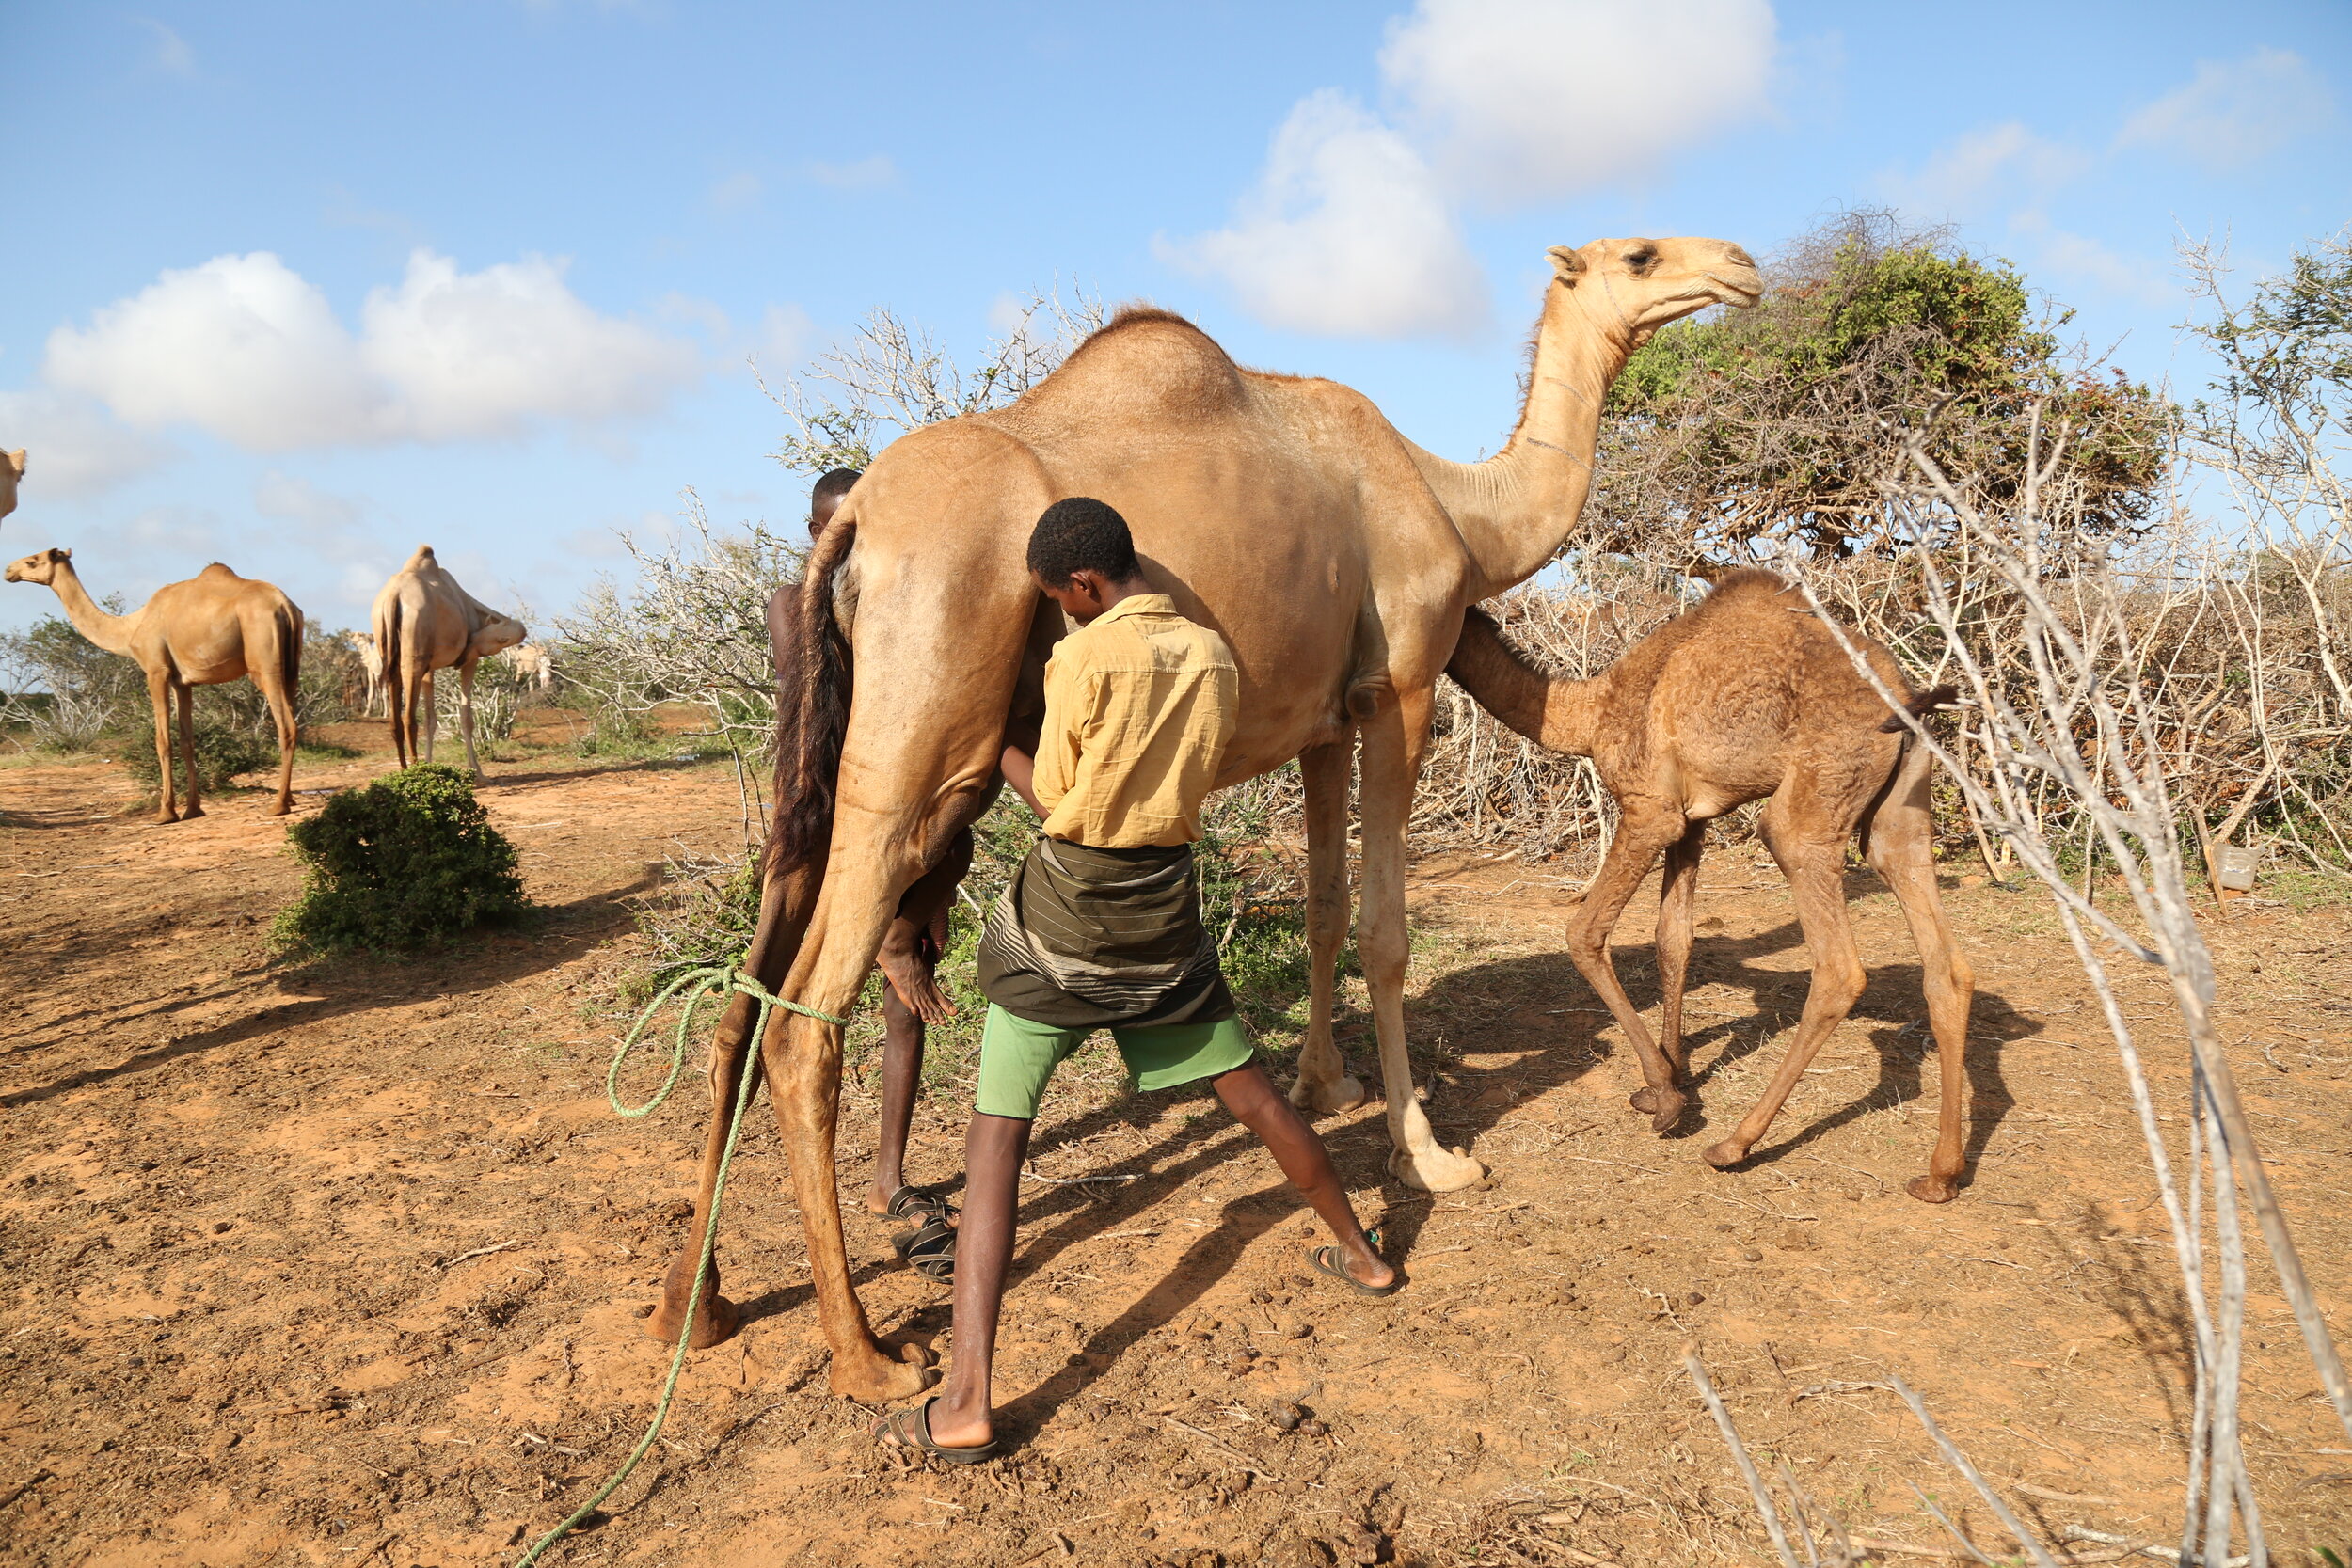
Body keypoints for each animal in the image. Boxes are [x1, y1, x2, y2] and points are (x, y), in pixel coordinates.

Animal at [4, 547, 302, 822]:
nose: (8, 570)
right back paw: (289, 799)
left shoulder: (156, 669)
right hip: (291, 668)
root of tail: (285, 606)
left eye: (32, 560)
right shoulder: (183, 681)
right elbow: (186, 740)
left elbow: (162, 740)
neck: (130, 628)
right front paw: (193, 809)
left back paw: (278, 805)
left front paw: (165, 812)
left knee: (286, 725)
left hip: (264, 662)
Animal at [371, 546, 525, 775]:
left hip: (390, 652)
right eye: (502, 640)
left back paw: (406, 769)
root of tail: (393, 597)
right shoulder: (471, 661)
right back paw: (415, 772)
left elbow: (431, 719)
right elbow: (466, 717)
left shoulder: (430, 668)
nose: (468, 644)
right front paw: (478, 771)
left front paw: (430, 763)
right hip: (413, 655)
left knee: (395, 720)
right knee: (409, 718)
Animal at [645, 235, 1762, 1401]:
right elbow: (1385, 932)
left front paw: (1324, 1081)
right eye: (1638, 254)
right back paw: (867, 1355)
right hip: (922, 725)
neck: (1459, 505)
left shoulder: (1323, 718)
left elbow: (1323, 908)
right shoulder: (1401, 687)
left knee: (748, 991)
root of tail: (858, 520)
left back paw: (697, 1302)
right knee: (803, 1019)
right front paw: (1432, 1155)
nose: (1738, 264)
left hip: (838, 750)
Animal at [1443, 571, 1975, 1200]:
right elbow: (1673, 940)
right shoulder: (1691, 820)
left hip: (1811, 805)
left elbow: (1584, 934)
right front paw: (1671, 1078)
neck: (1589, 711)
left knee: (1838, 968)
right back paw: (1941, 1174)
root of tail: (1902, 695)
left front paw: (1666, 1097)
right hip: (1901, 810)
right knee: (1944, 962)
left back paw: (1734, 1144)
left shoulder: (1650, 810)